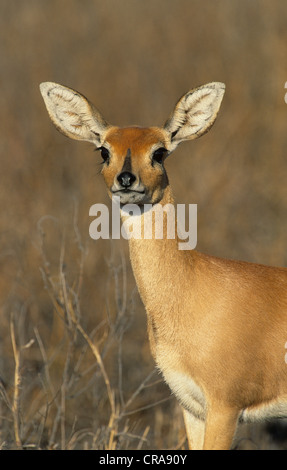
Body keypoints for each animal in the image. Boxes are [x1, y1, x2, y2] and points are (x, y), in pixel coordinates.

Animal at [39, 82, 287, 450]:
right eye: (103, 151)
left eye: (159, 152)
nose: (126, 179)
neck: (192, 289)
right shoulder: (192, 407)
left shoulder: (226, 406)